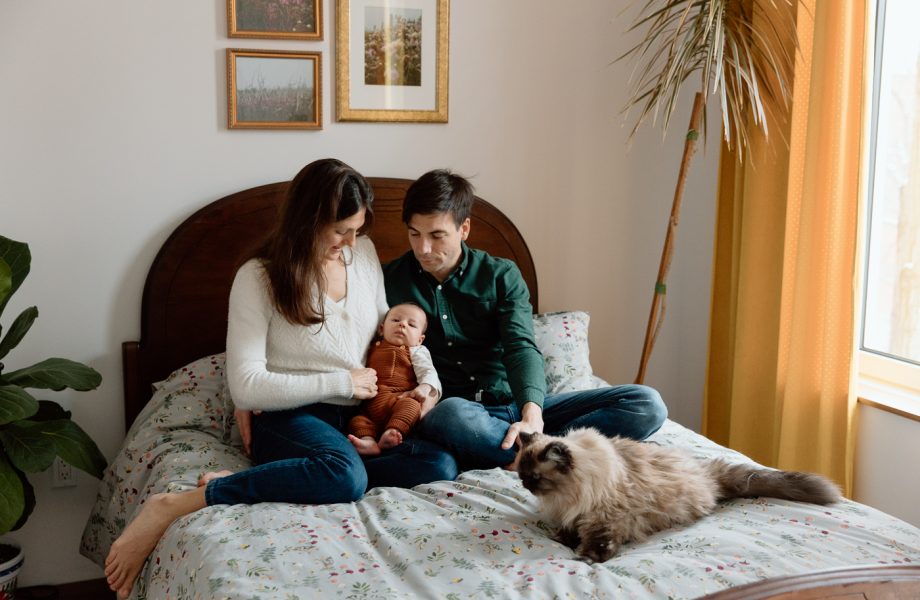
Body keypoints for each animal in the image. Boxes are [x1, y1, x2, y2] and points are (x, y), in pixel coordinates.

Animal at [516, 426, 840, 564]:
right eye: (521, 474)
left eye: (535, 477)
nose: (524, 484)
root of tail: (706, 472)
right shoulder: (576, 514)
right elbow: (570, 529)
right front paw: (562, 539)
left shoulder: (605, 517)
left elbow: (598, 542)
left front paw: (585, 558)